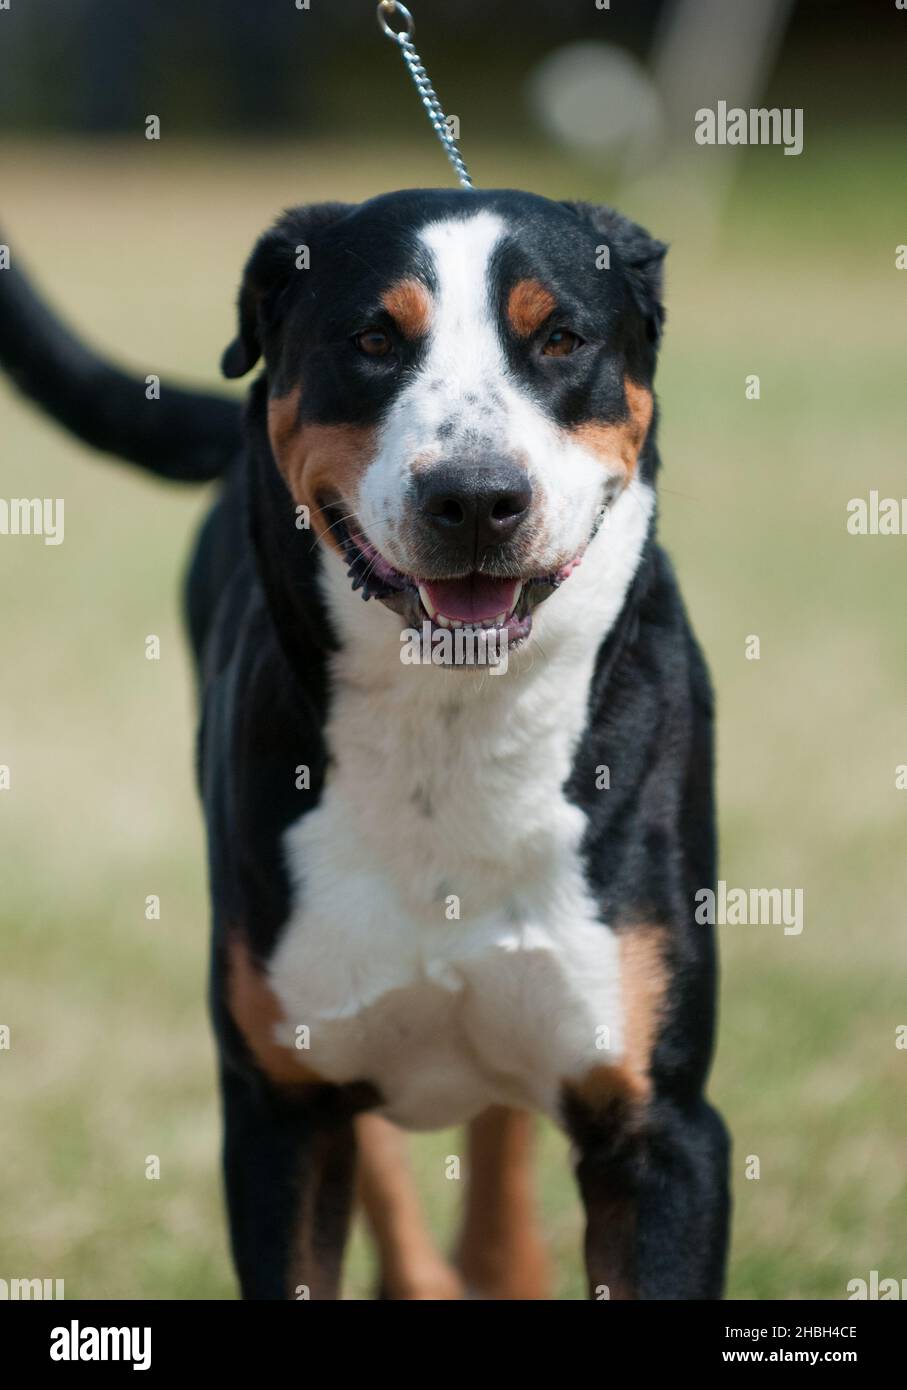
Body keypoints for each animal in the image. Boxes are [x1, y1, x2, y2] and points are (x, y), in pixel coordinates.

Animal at [1, 190, 727, 1295]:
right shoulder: (279, 1113)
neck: (450, 729)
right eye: (374, 340)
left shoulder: (662, 1129)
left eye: (559, 339)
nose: (474, 497)